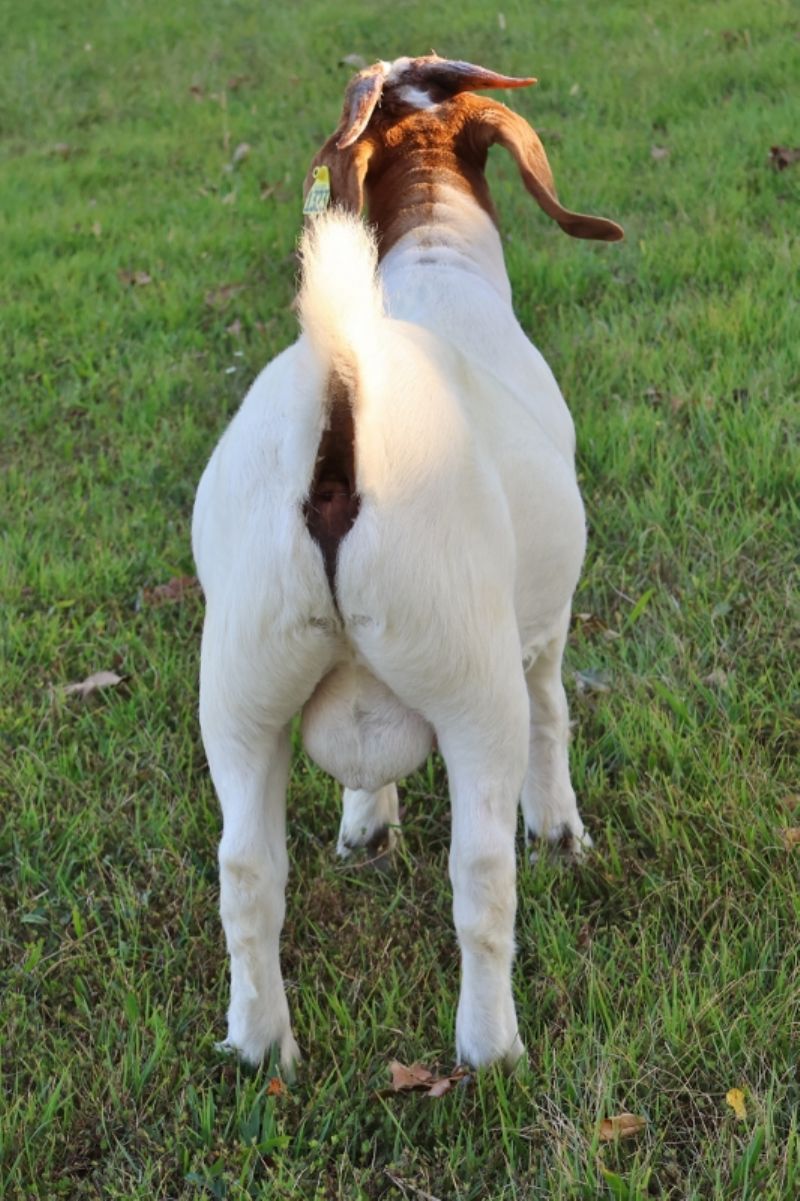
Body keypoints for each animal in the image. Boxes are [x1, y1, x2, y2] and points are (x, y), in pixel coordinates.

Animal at [193, 54, 624, 1071]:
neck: (433, 256)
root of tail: (344, 386)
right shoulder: (543, 625)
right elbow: (556, 720)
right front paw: (565, 833)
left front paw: (365, 826)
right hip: (472, 683)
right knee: (481, 877)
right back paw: (491, 1049)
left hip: (238, 689)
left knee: (245, 874)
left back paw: (261, 1047)